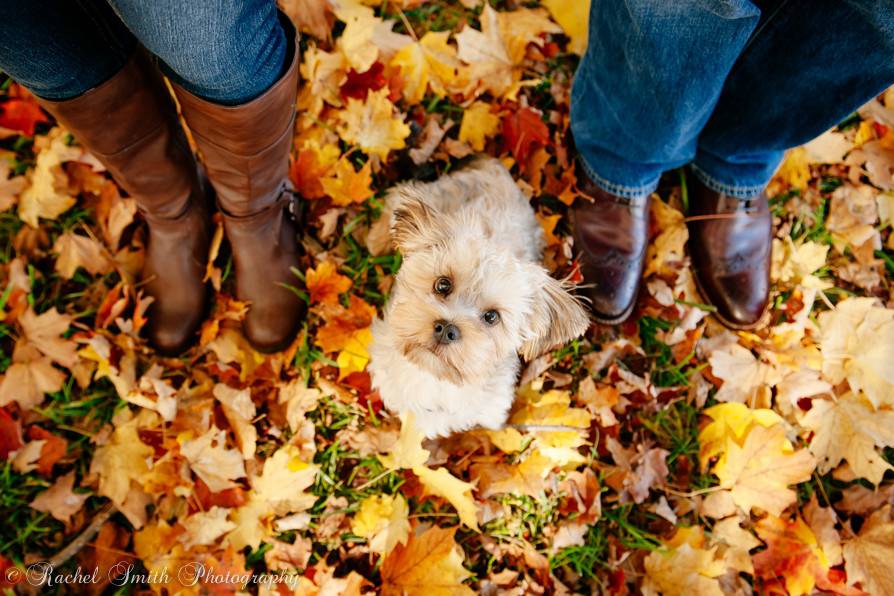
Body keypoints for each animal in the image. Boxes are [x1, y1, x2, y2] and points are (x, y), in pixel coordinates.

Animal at [368, 157, 592, 438]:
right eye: (443, 284)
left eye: (492, 317)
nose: (446, 329)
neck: (433, 378)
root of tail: (496, 168)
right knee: (400, 193)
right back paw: (376, 240)